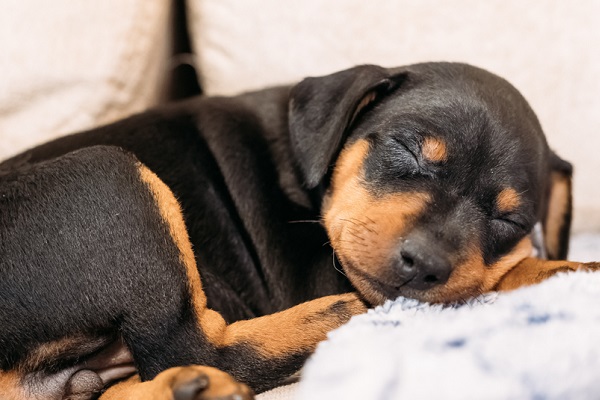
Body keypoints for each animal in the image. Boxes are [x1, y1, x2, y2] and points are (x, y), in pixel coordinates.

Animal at [1, 62, 600, 400]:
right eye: (407, 150)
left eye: (510, 219)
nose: (427, 263)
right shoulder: (320, 267)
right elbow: (507, 271)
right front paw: (570, 266)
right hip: (110, 174)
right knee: (191, 345)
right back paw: (335, 317)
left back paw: (189, 389)